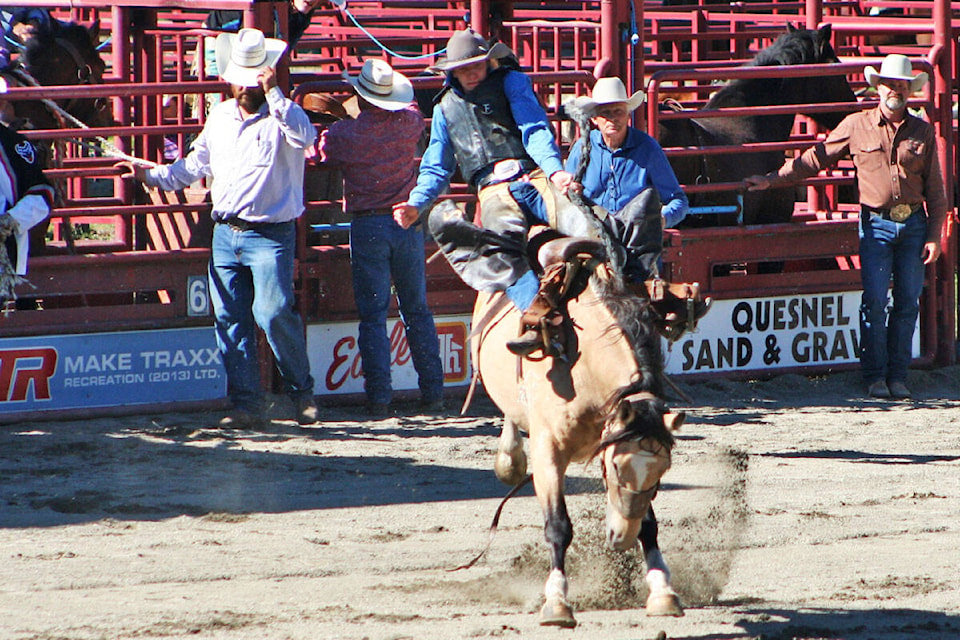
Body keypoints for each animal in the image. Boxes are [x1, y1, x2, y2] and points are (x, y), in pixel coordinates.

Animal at [470, 246, 684, 632]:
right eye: (616, 467)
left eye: (662, 474)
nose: (621, 538)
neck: (583, 369)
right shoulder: (548, 455)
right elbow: (558, 527)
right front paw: (556, 602)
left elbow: (649, 525)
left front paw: (662, 591)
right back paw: (509, 459)